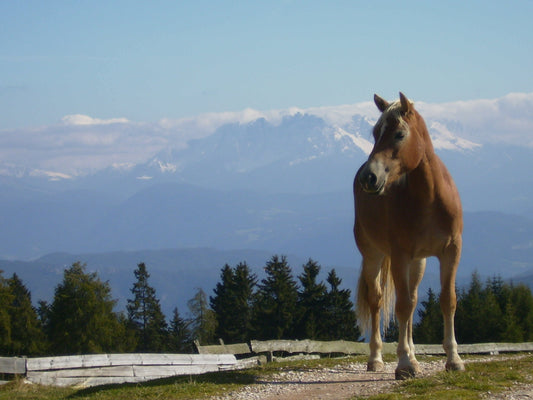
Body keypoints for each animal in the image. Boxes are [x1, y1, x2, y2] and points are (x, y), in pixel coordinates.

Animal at [354, 92, 466, 380]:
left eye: (399, 134)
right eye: (375, 133)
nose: (369, 177)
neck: (430, 198)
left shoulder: (451, 251)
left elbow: (447, 300)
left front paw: (453, 359)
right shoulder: (400, 255)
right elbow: (401, 306)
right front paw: (404, 364)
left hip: (419, 262)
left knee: (414, 301)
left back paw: (413, 353)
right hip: (373, 255)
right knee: (377, 300)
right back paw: (376, 358)